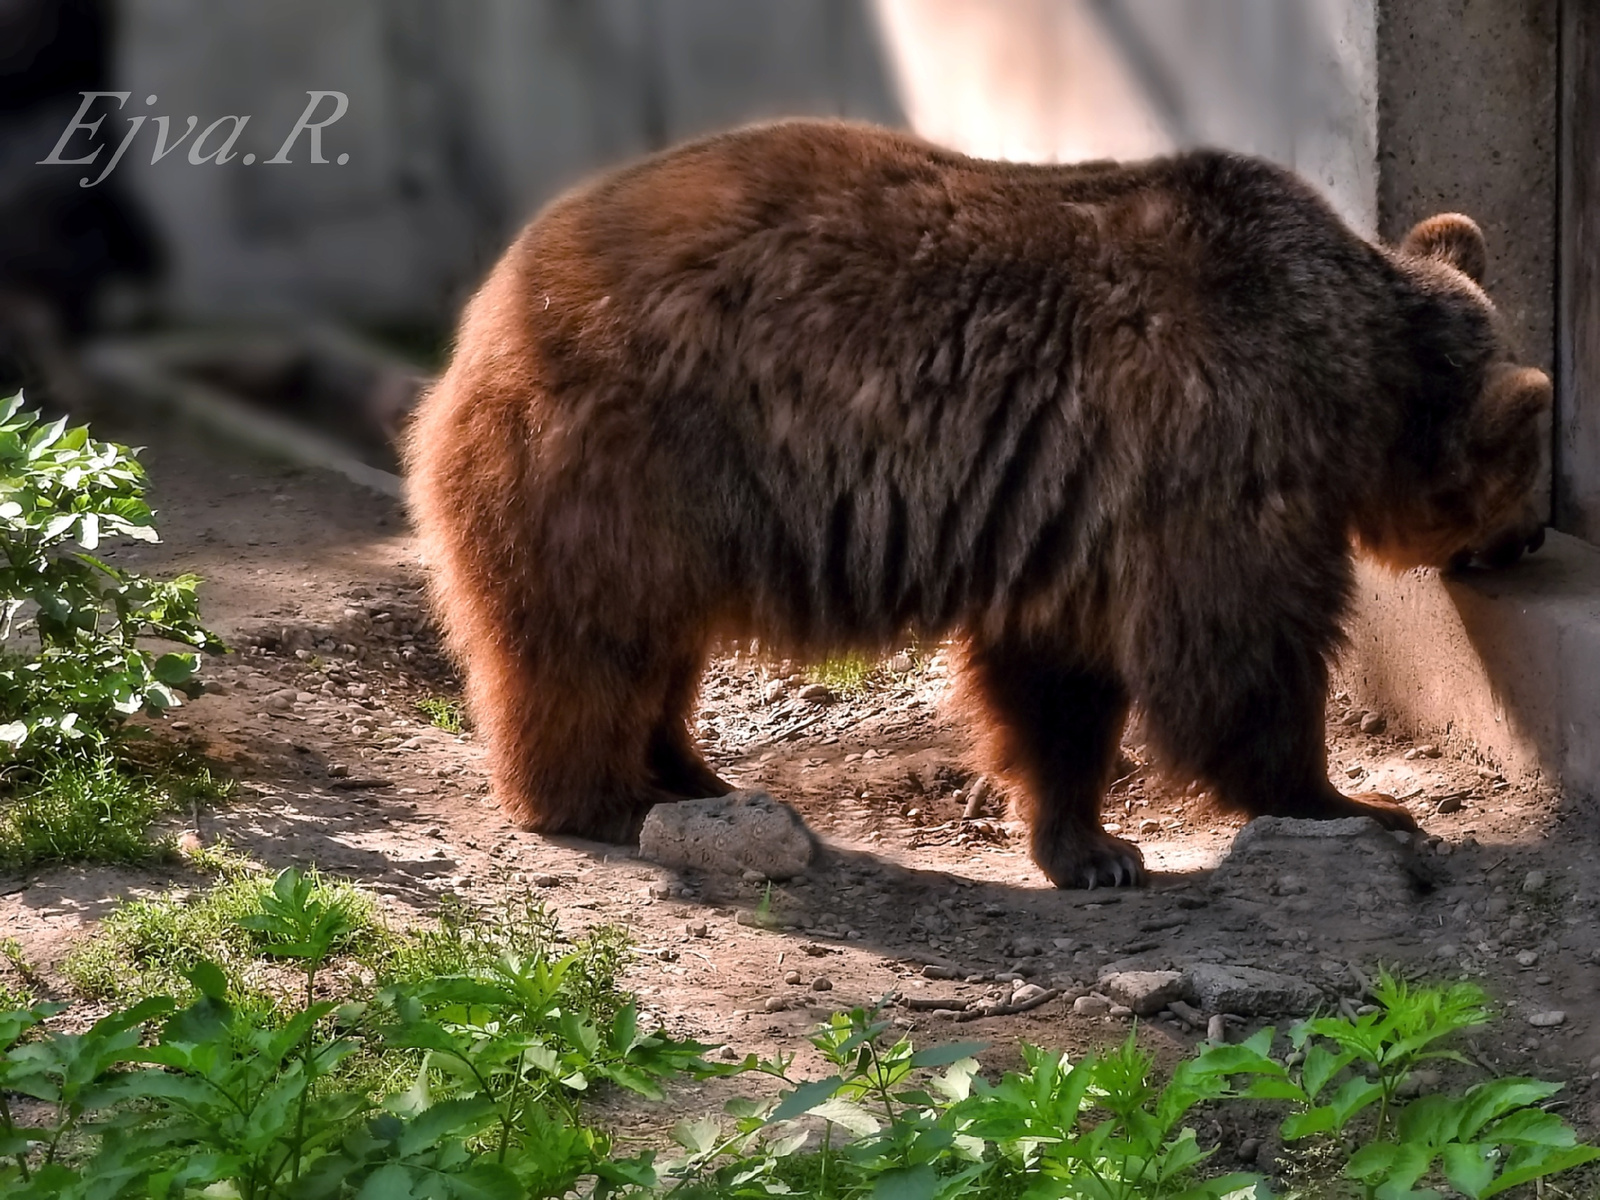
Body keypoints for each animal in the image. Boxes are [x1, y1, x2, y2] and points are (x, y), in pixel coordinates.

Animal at [400, 122, 1548, 896]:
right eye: (1526, 479)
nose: (1527, 542)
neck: (1348, 377)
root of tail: (483, 317)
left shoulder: (1070, 506)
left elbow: (1056, 681)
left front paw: (1093, 847)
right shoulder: (1215, 455)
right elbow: (1234, 658)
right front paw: (1359, 801)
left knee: (658, 648)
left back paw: (691, 774)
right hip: (629, 460)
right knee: (591, 642)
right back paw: (601, 796)